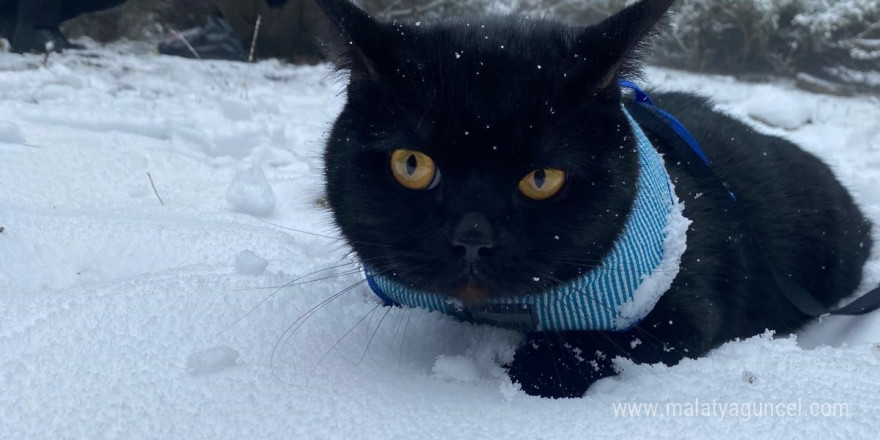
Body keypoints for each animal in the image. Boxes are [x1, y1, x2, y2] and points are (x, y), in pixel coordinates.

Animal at [314, 0, 872, 398]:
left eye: (543, 178)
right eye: (412, 165)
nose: (472, 239)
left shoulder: (684, 310)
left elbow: (589, 347)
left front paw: (529, 365)